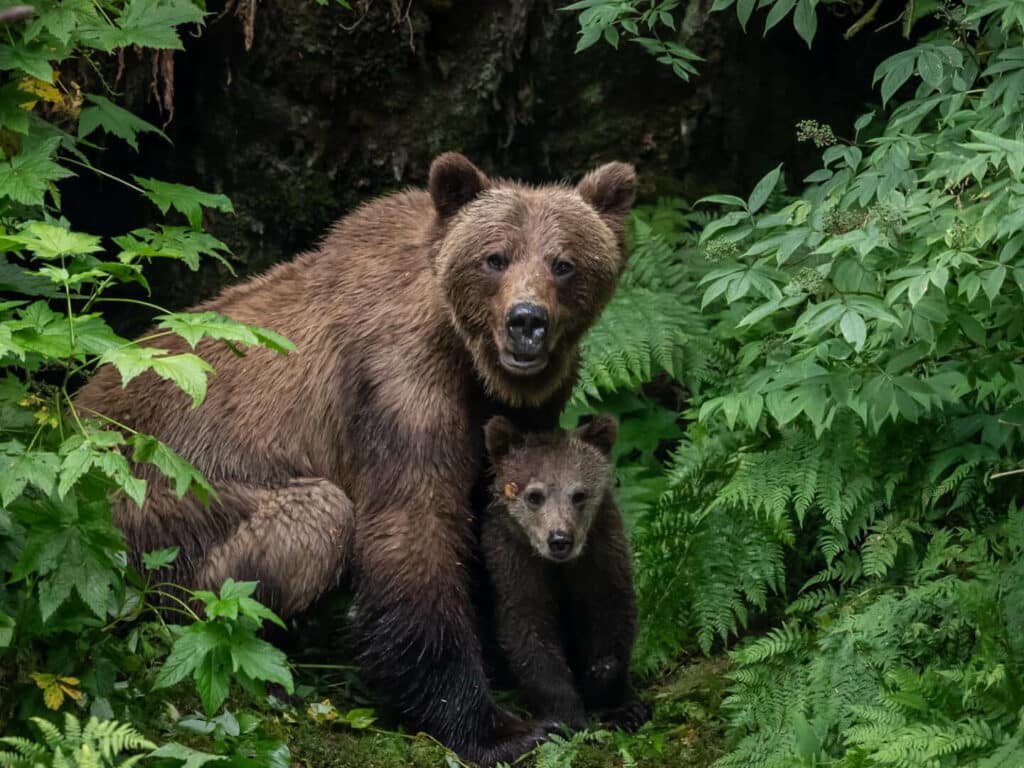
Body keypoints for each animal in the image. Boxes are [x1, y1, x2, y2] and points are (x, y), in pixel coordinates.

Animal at [480, 414, 650, 734]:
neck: (558, 567)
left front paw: (618, 702)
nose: (560, 539)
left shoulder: (600, 553)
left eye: (579, 494)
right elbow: (529, 633)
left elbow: (611, 611)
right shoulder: (516, 564)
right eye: (534, 495)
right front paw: (565, 717)